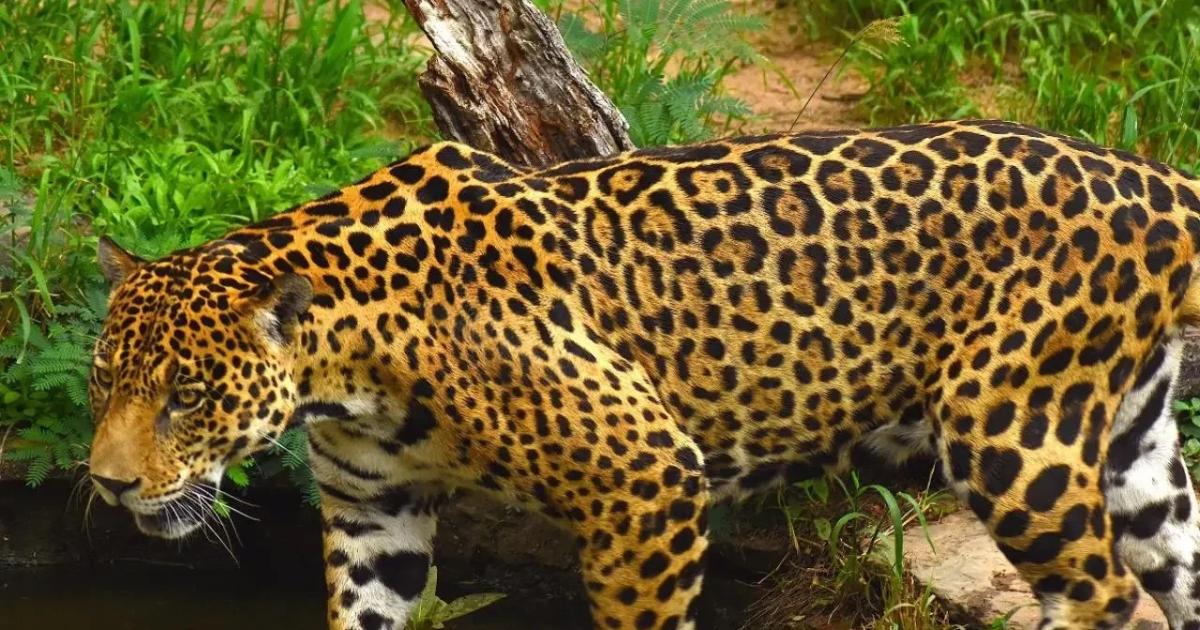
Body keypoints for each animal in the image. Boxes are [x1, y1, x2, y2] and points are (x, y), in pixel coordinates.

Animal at [87, 118, 1200, 630]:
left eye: (187, 397)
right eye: (105, 386)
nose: (107, 483)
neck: (349, 368)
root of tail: (1146, 173)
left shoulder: (646, 479)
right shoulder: (375, 515)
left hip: (1012, 434)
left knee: (1097, 592)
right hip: (1136, 451)